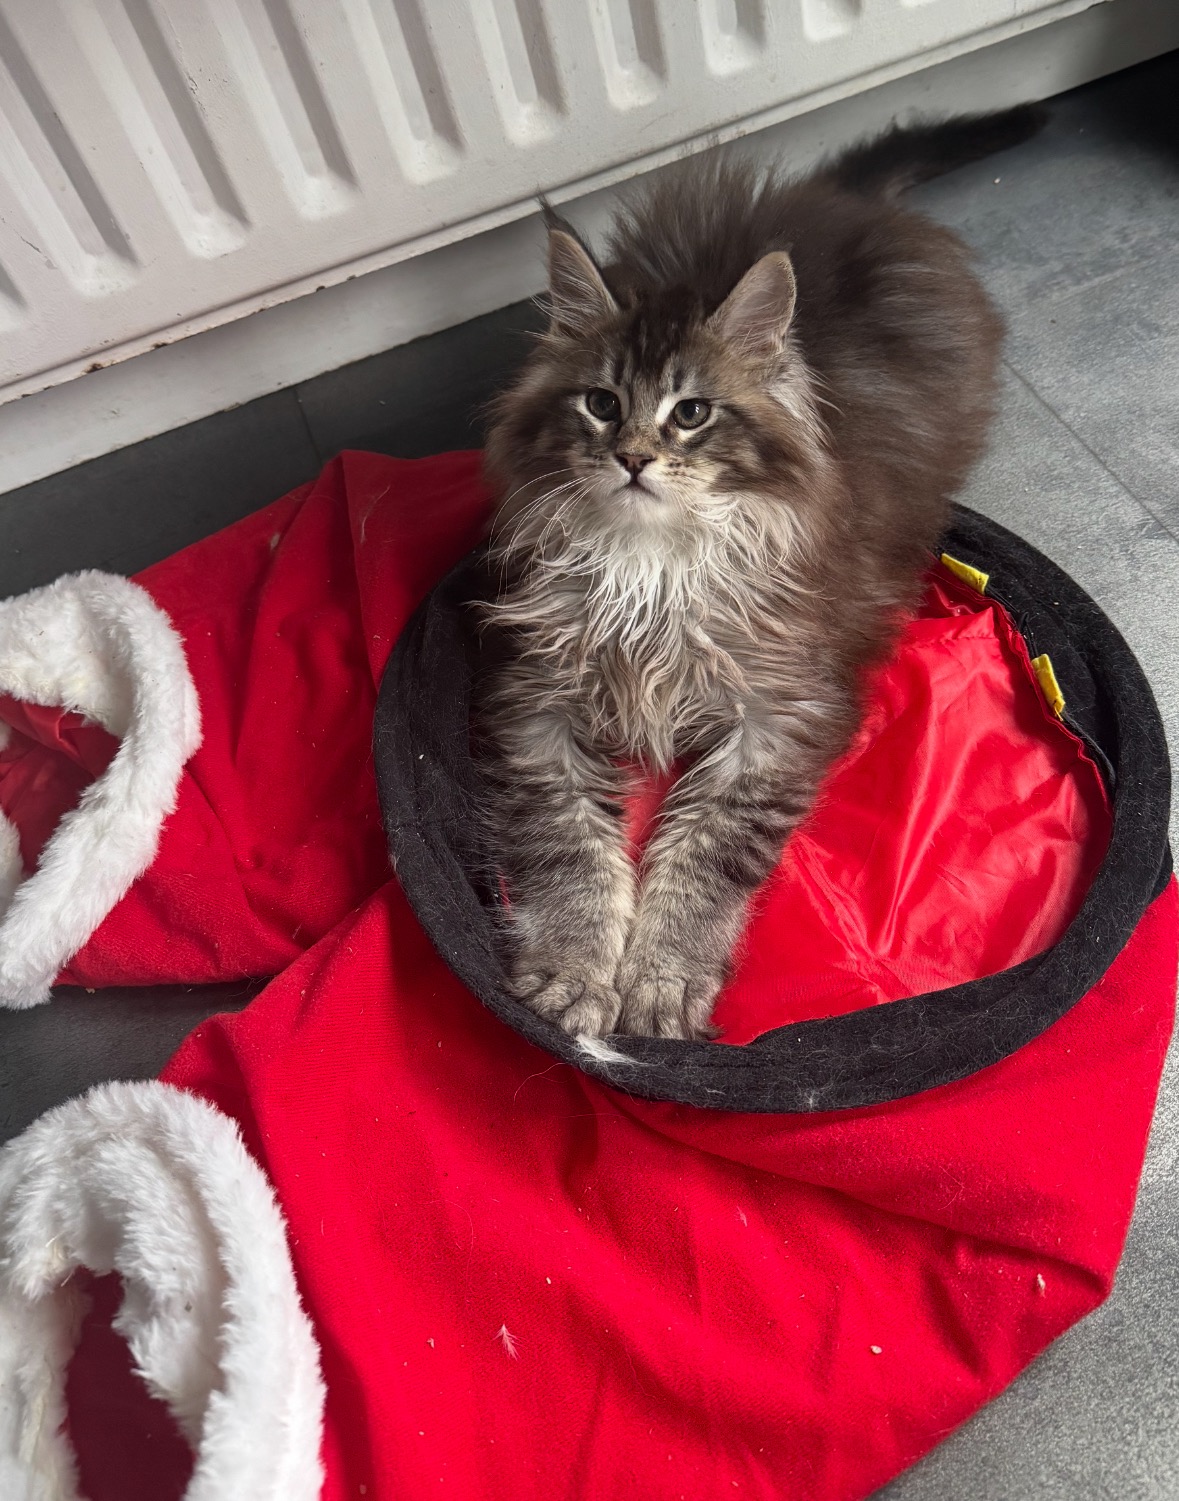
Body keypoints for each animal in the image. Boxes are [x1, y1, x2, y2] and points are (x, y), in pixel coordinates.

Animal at [477, 107, 1044, 1041]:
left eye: (691, 412)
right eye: (600, 403)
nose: (633, 457)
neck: (652, 567)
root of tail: (834, 200)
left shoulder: (777, 717)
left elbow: (702, 851)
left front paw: (662, 977)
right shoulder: (539, 706)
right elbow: (568, 847)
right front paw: (575, 967)